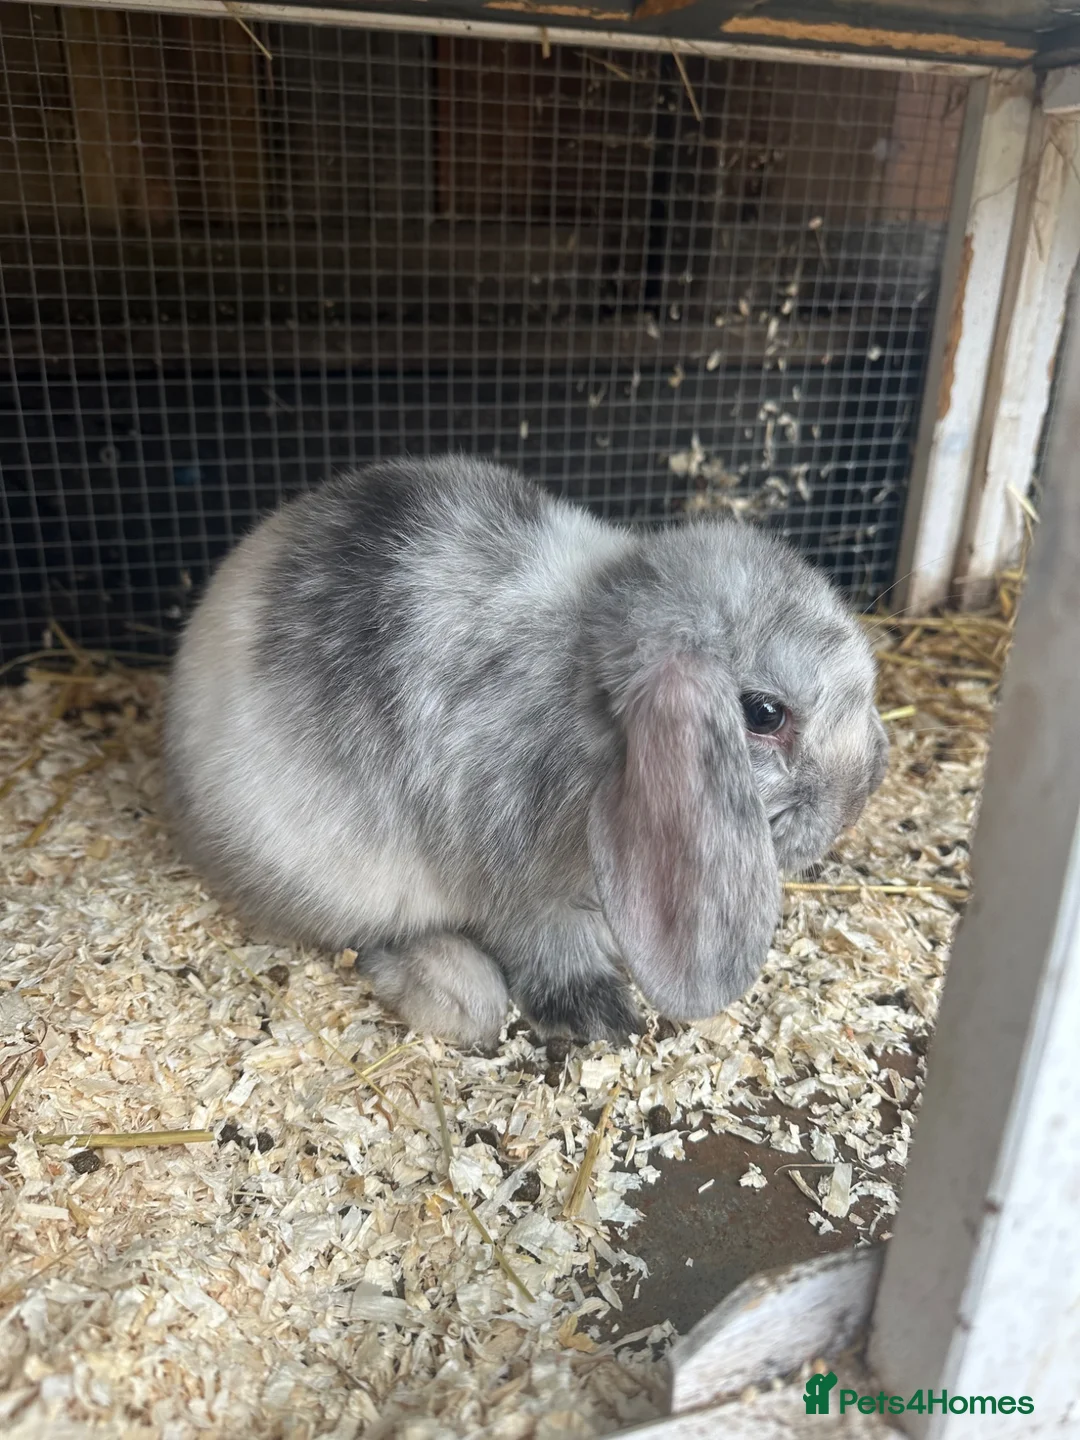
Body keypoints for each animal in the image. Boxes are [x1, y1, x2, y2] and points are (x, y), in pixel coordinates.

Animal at [164, 455, 888, 1049]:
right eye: (764, 714)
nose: (854, 805)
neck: (588, 689)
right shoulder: (518, 874)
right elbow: (546, 944)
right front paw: (601, 1017)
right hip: (335, 880)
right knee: (370, 941)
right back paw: (457, 990)